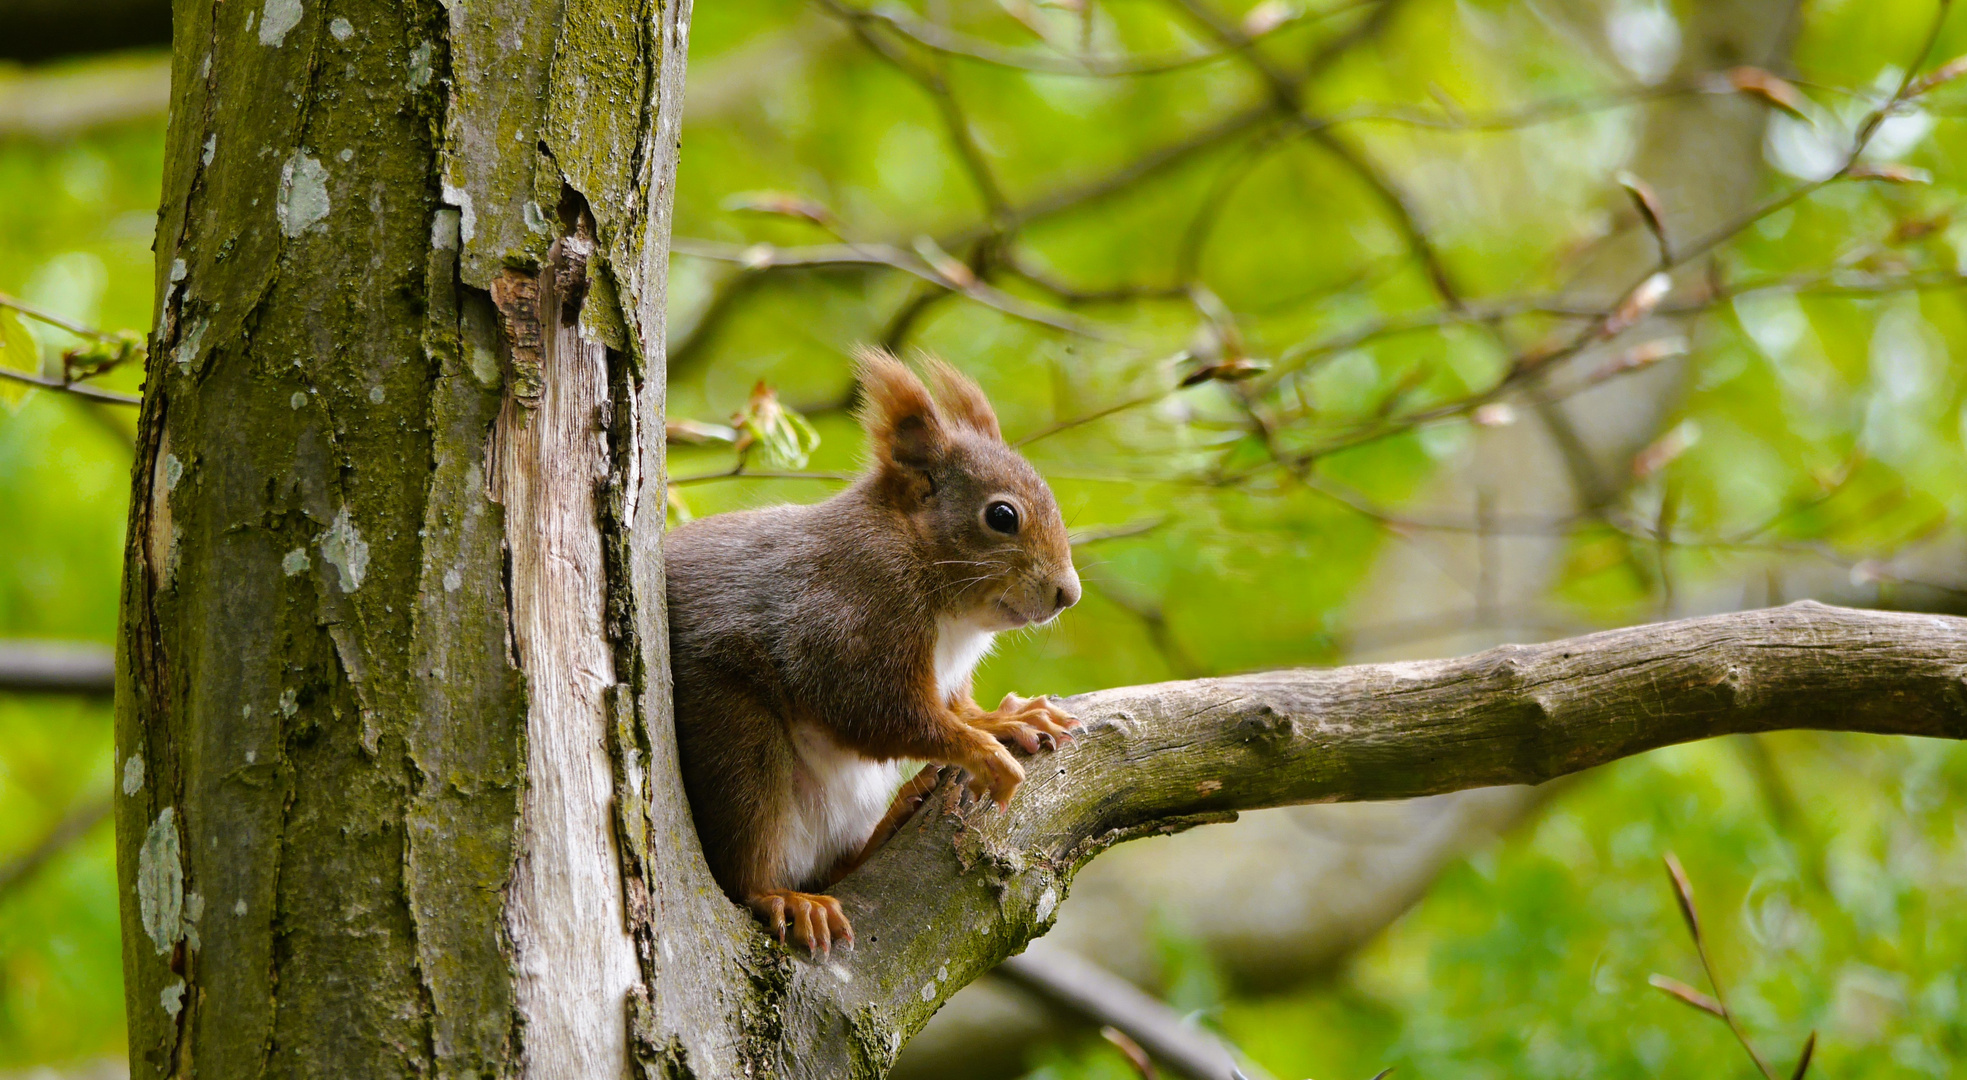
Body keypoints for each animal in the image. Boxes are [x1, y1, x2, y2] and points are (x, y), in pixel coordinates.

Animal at [668, 348, 1085, 952]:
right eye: (1002, 516)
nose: (1067, 593)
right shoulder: (848, 618)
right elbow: (879, 713)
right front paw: (984, 751)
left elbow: (955, 708)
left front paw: (1009, 718)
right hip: (735, 740)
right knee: (747, 860)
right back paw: (783, 896)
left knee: (836, 866)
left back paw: (893, 818)